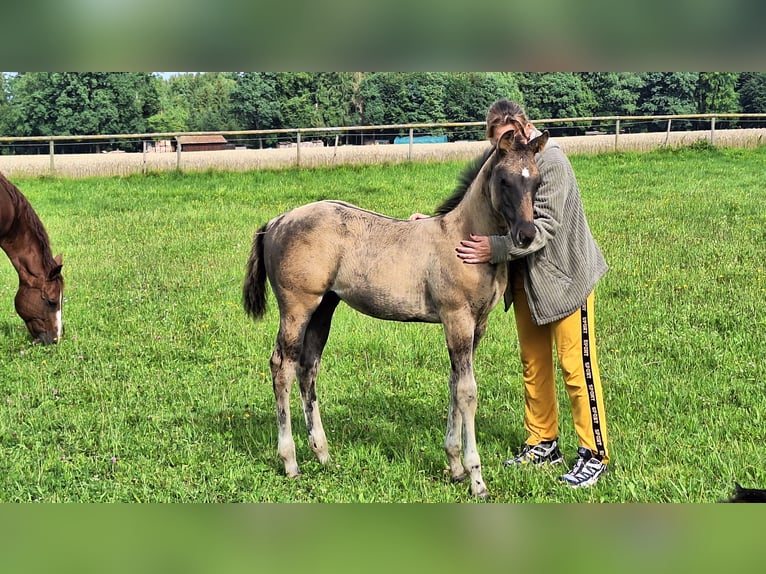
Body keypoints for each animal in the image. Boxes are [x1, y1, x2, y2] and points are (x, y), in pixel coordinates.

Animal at [243, 126, 549, 498]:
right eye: (504, 180)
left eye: (536, 180)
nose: (526, 234)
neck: (462, 239)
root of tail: (277, 221)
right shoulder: (457, 318)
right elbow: (467, 391)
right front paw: (476, 478)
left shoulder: (477, 325)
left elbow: (454, 383)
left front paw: (455, 466)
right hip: (297, 307)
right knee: (281, 367)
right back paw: (290, 462)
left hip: (323, 308)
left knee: (308, 368)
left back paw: (323, 455)